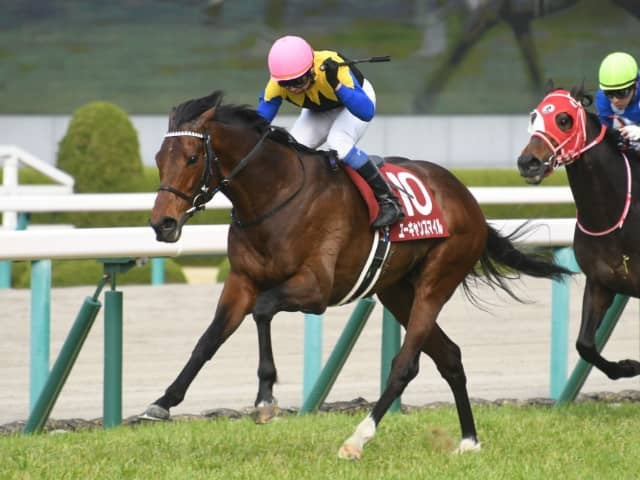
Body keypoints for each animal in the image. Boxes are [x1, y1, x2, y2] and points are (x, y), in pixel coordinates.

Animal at [144, 90, 570, 460]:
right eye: (159, 157)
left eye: (192, 157)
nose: (162, 224)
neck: (275, 195)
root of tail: (468, 199)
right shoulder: (241, 280)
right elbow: (209, 339)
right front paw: (162, 402)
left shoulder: (315, 290)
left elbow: (263, 310)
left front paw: (265, 398)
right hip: (397, 291)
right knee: (449, 356)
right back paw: (468, 441)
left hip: (437, 280)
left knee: (405, 365)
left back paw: (357, 438)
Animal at [517, 82, 640, 383]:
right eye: (534, 116)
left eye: (564, 119)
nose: (528, 162)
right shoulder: (600, 283)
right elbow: (584, 344)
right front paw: (628, 366)